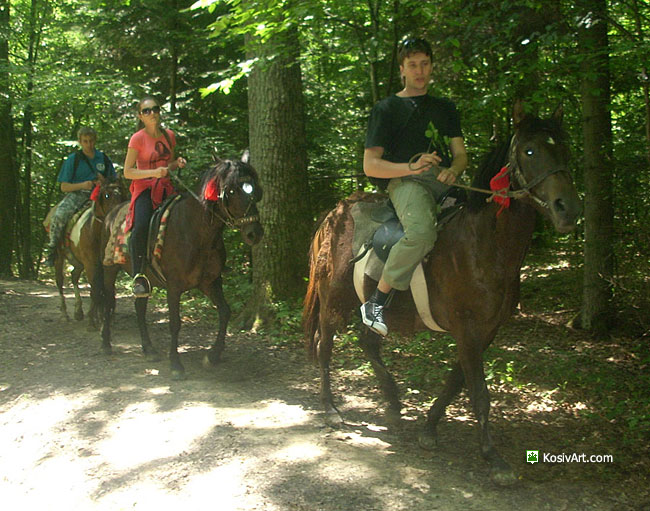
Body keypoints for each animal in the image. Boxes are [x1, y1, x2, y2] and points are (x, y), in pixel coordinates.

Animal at [46, 175, 126, 328]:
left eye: (123, 194)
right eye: (106, 195)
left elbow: (105, 289)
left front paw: (103, 317)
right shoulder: (91, 264)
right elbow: (95, 289)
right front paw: (93, 321)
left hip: (78, 262)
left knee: (74, 276)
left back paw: (79, 311)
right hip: (60, 257)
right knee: (60, 281)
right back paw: (65, 314)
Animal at [98, 153, 264, 380]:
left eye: (255, 189)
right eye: (231, 190)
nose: (254, 233)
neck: (196, 232)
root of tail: (111, 213)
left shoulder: (210, 282)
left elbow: (225, 312)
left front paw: (213, 355)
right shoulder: (174, 286)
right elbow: (175, 322)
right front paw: (176, 364)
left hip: (144, 280)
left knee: (139, 306)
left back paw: (148, 349)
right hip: (109, 269)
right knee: (108, 301)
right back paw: (106, 343)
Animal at [302, 103, 580, 484]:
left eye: (565, 148)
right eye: (529, 151)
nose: (568, 209)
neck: (484, 244)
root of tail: (333, 214)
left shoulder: (486, 331)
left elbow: (455, 382)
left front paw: (430, 428)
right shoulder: (467, 328)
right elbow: (478, 392)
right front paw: (493, 457)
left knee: (368, 340)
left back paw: (392, 401)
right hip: (333, 301)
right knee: (325, 346)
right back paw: (331, 409)